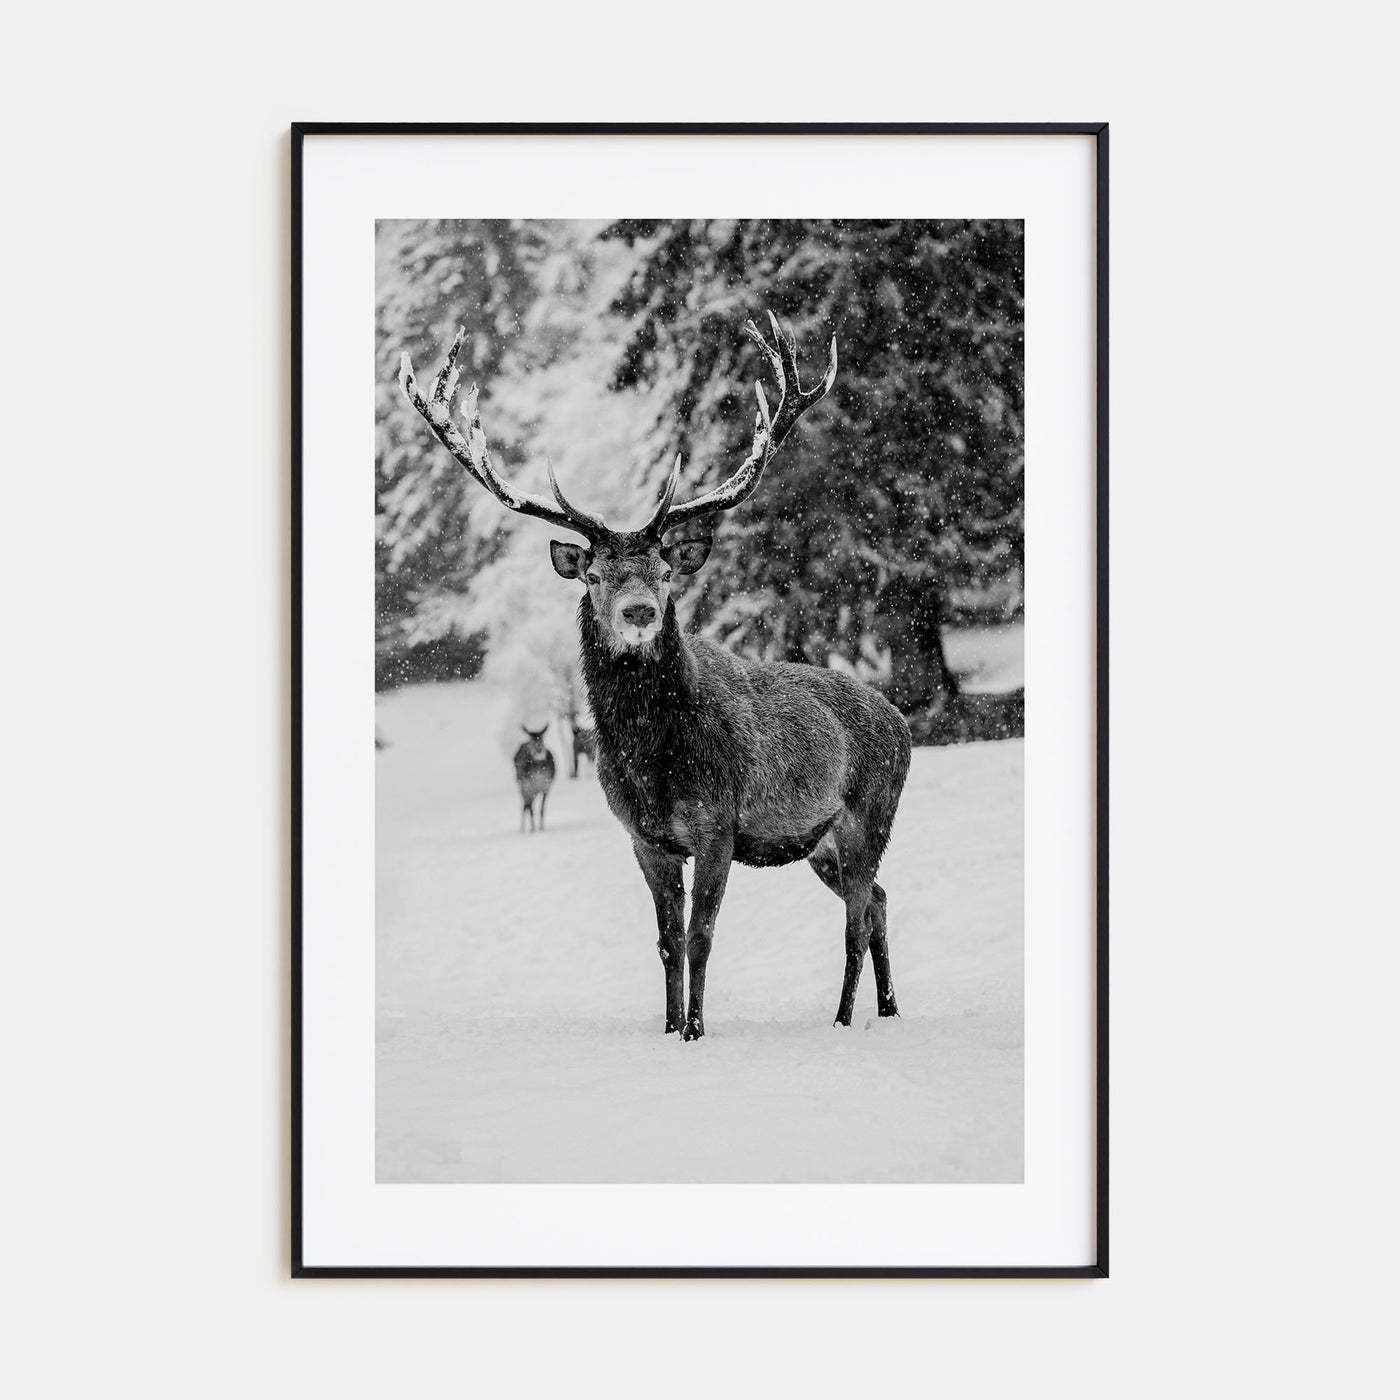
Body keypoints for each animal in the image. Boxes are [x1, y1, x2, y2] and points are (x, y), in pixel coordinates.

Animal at [400, 312, 911, 1039]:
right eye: (594, 574)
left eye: (666, 571)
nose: (639, 610)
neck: (651, 759)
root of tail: (902, 720)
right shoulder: (645, 838)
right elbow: (667, 941)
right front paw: (668, 1030)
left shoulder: (718, 823)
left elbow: (701, 936)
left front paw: (696, 1030)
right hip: (819, 841)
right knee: (880, 902)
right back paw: (888, 1008)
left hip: (872, 810)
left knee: (856, 918)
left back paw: (843, 1018)